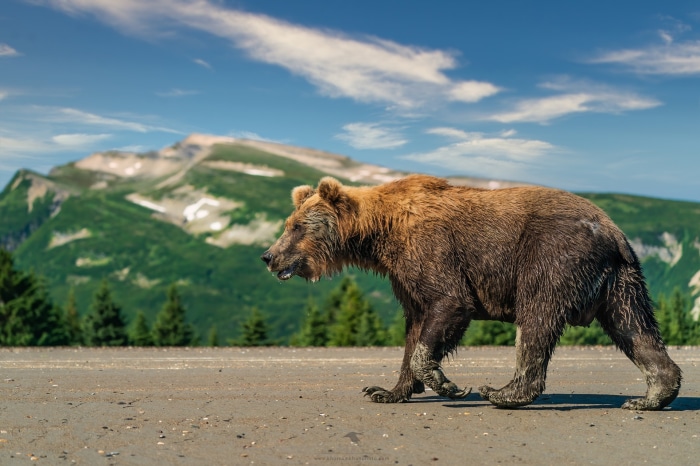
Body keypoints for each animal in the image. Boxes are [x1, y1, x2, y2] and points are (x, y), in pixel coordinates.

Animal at [261, 175, 681, 410]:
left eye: (297, 226)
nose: (268, 256)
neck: (381, 235)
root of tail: (613, 230)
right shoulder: (405, 277)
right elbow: (414, 328)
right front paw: (386, 390)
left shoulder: (431, 250)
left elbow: (449, 305)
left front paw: (446, 383)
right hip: (621, 280)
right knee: (634, 328)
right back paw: (650, 395)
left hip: (552, 255)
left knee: (536, 319)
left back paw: (503, 392)